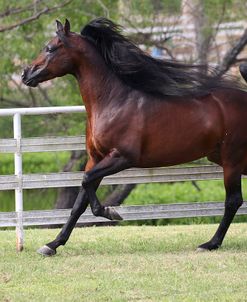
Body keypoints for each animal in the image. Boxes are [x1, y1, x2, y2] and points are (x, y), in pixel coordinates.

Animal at [21, 17, 247, 256]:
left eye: (50, 48)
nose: (26, 74)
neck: (112, 101)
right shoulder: (95, 158)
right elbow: (79, 203)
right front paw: (52, 245)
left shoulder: (122, 157)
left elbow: (86, 182)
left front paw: (110, 212)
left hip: (232, 160)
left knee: (233, 201)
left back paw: (210, 243)